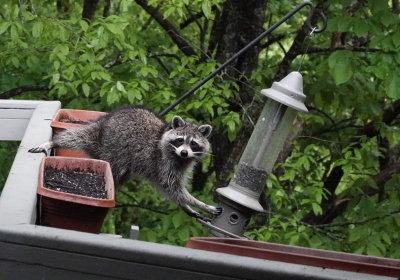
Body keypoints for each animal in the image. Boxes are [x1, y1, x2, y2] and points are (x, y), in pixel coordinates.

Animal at [29, 106, 220, 219]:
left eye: (193, 143)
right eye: (180, 140)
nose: (184, 152)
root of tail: (106, 119)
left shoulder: (174, 166)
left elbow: (171, 190)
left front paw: (187, 206)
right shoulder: (163, 161)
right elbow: (171, 187)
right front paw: (198, 203)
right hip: (102, 138)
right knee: (75, 137)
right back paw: (53, 142)